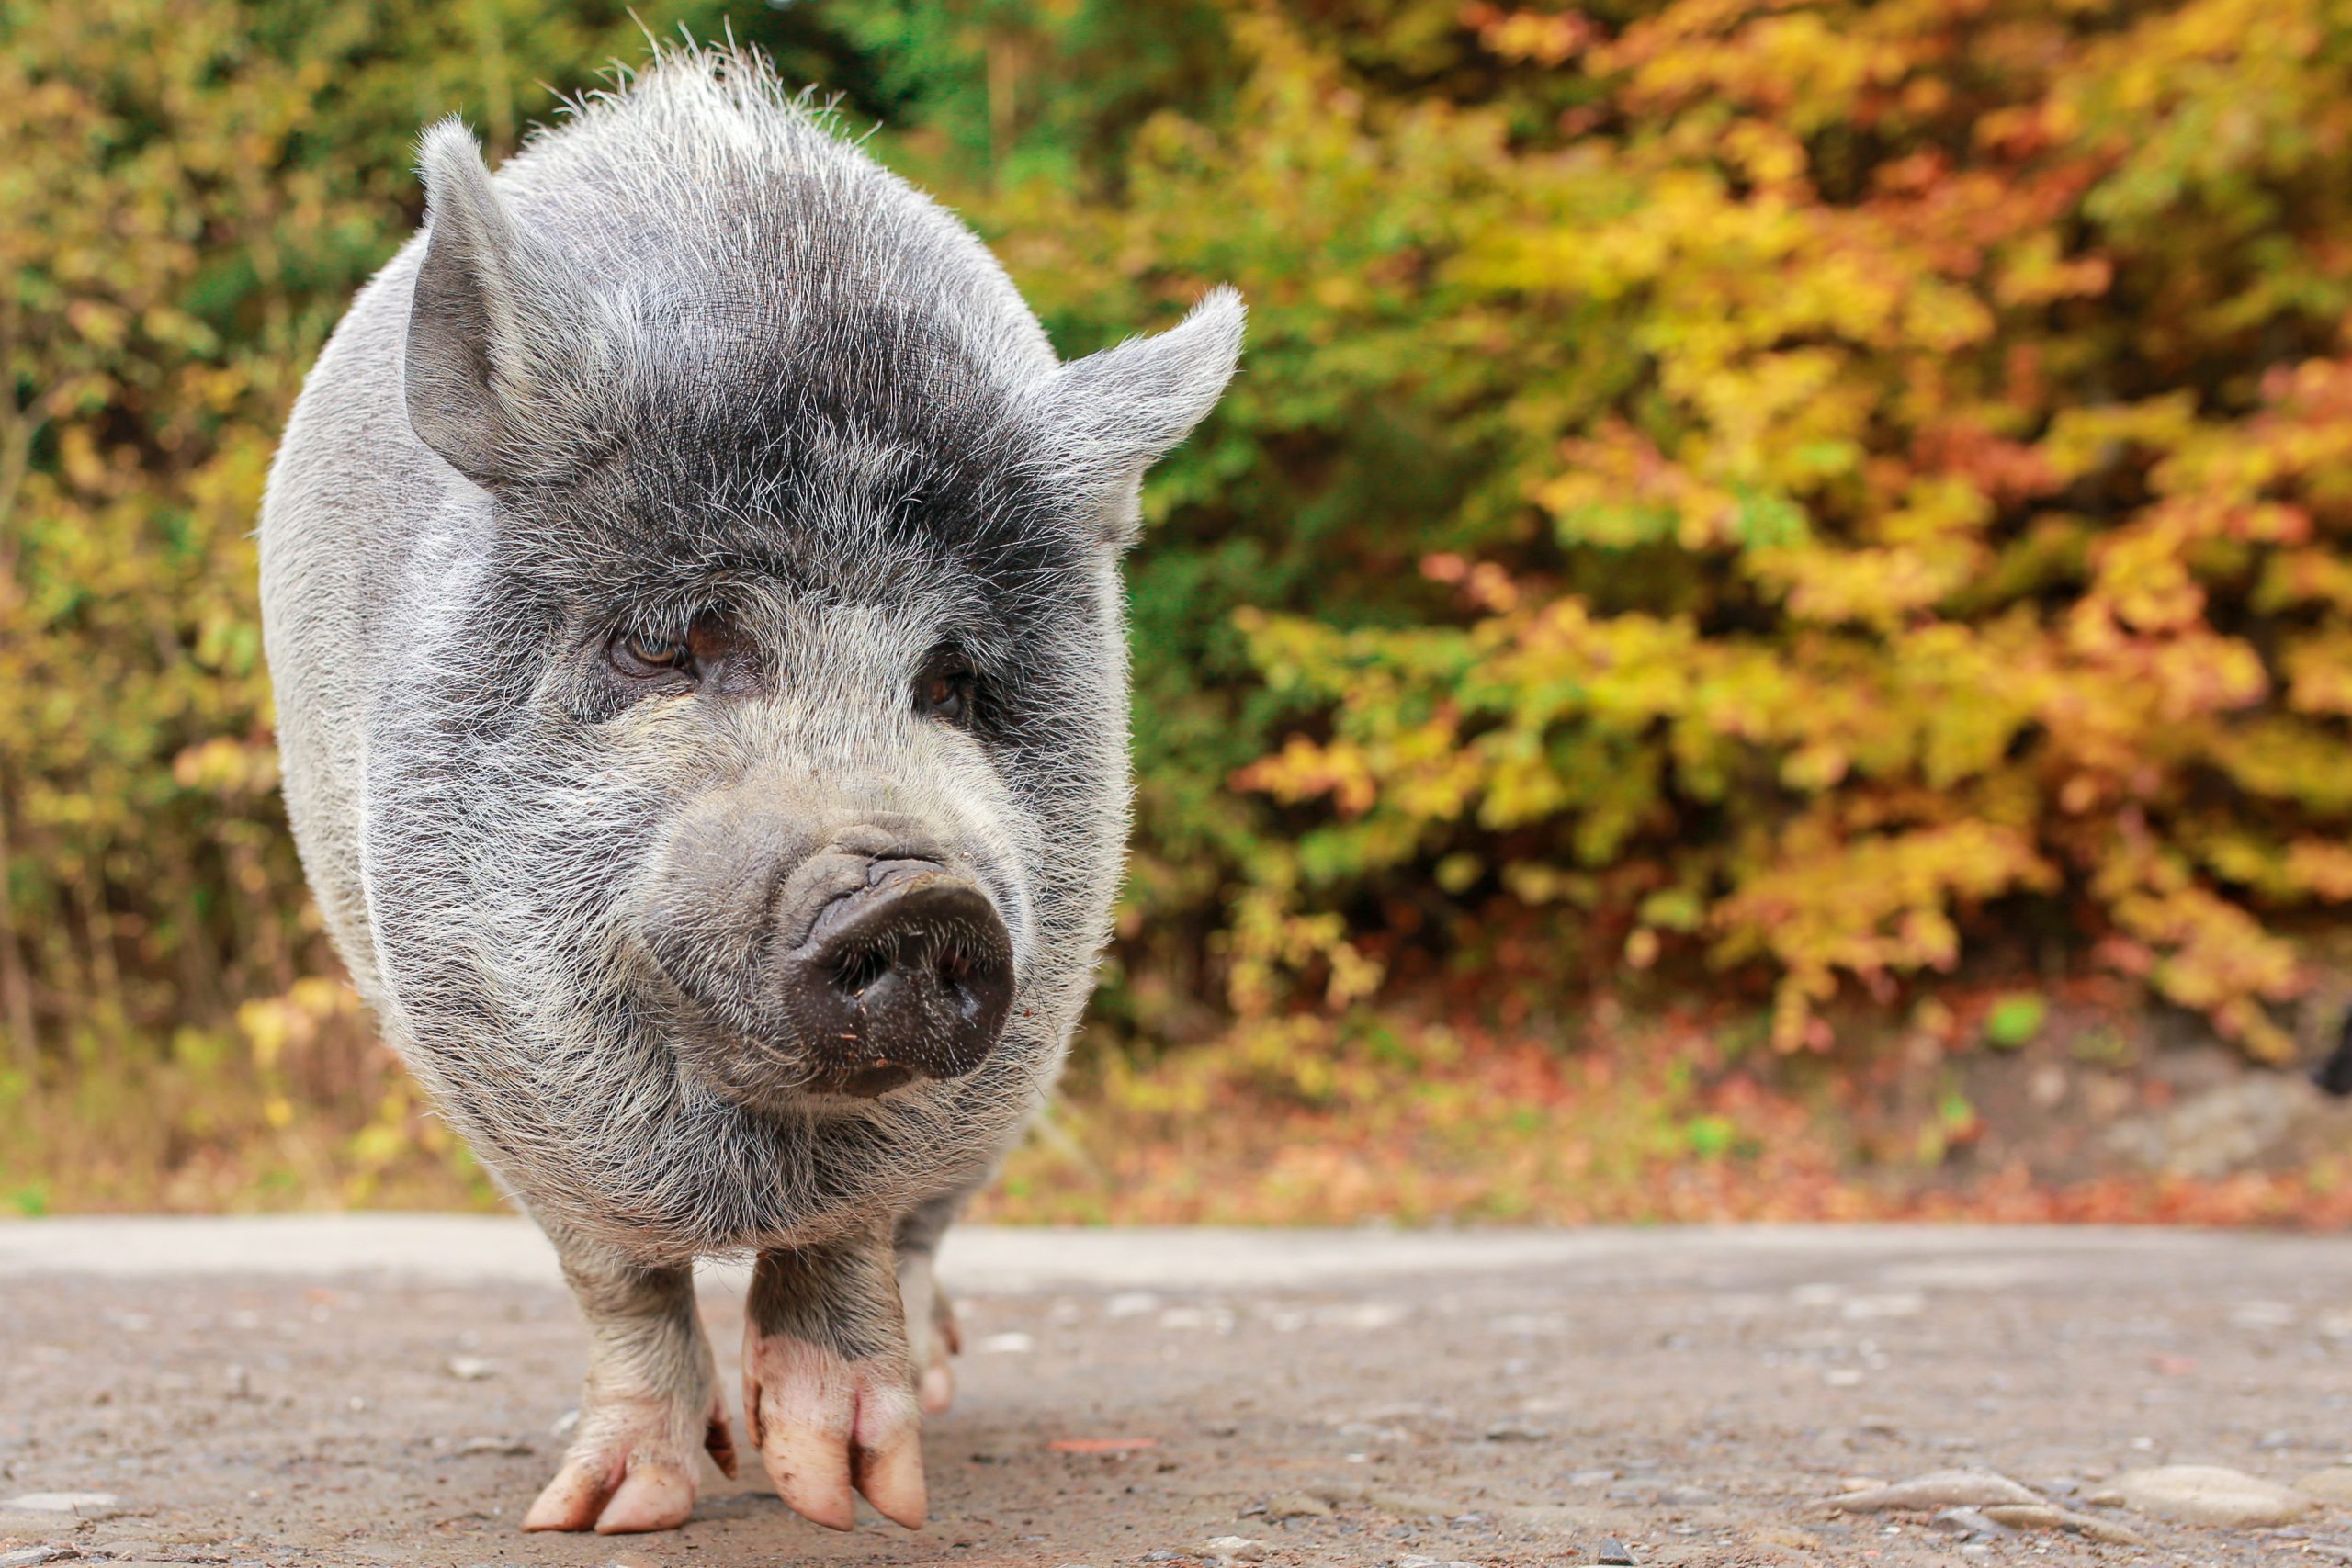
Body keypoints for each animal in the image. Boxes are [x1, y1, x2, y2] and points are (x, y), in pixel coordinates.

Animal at [257, 44, 1240, 1536]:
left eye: (953, 681)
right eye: (667, 645)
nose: (916, 890)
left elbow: (854, 1234)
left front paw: (853, 1499)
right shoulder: (469, 1050)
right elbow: (614, 1271)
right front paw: (603, 1515)